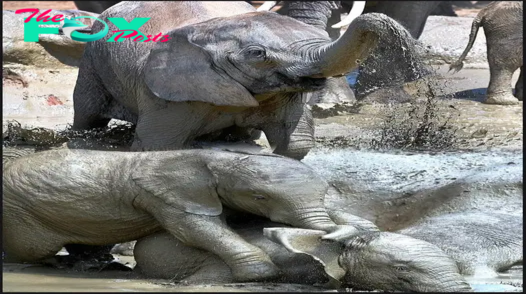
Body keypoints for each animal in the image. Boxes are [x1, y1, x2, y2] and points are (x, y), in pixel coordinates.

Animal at [1, 148, 358, 284]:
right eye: (260, 197)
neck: (215, 158)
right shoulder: (166, 196)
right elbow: (195, 229)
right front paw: (259, 275)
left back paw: (100, 265)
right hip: (18, 212)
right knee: (32, 250)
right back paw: (56, 265)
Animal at [72, 1, 394, 160]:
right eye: (258, 54)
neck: (208, 29)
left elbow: (296, 143)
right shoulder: (164, 92)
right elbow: (157, 146)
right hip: (91, 60)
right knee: (87, 112)